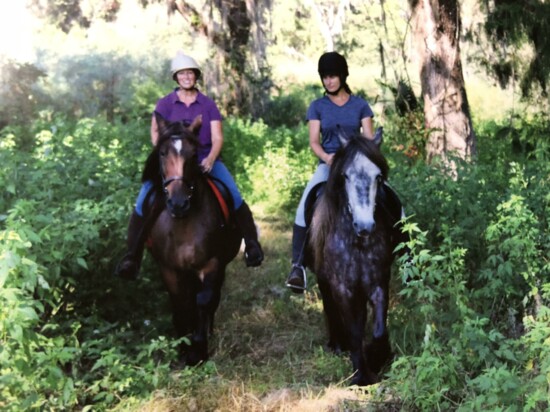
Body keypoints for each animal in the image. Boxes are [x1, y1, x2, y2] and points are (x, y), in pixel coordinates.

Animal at [144, 112, 242, 364]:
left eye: (194, 154)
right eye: (162, 153)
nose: (178, 203)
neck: (183, 224)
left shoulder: (212, 264)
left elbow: (205, 300)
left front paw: (198, 348)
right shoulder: (169, 268)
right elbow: (181, 303)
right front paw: (183, 345)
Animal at [308, 135, 398, 386]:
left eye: (378, 176)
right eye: (345, 176)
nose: (365, 226)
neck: (356, 242)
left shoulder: (378, 283)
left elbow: (378, 331)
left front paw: (377, 358)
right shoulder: (342, 288)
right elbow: (354, 331)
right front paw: (361, 375)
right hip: (324, 282)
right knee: (330, 310)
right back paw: (337, 344)